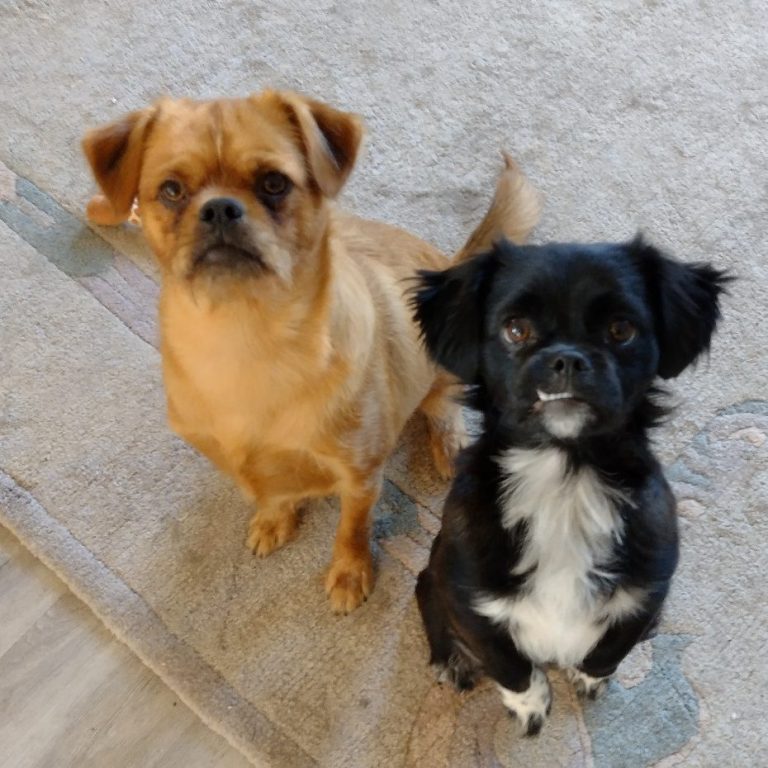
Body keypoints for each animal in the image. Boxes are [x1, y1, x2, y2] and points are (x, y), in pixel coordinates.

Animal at [81, 91, 539, 613]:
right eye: (172, 190)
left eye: (274, 183)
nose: (219, 208)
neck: (246, 334)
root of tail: (451, 265)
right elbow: (276, 492)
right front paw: (277, 518)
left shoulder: (360, 476)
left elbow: (352, 528)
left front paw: (350, 572)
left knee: (443, 402)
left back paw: (448, 443)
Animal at [413, 222, 729, 731]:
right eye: (515, 329)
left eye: (621, 329)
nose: (567, 359)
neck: (565, 479)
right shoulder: (470, 601)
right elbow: (509, 663)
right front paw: (530, 705)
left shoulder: (646, 593)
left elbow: (609, 648)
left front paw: (588, 678)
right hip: (435, 571)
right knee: (425, 595)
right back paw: (454, 660)